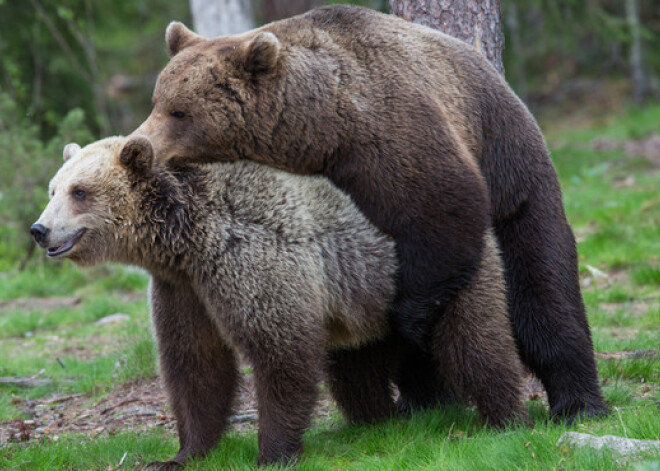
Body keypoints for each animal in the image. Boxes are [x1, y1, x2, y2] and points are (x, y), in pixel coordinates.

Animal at [31, 136, 524, 468]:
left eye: (80, 191)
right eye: (53, 188)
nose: (39, 230)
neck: (186, 236)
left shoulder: (251, 258)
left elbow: (279, 350)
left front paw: (272, 452)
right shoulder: (183, 289)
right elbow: (194, 362)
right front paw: (181, 453)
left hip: (436, 267)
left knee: (474, 339)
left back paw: (503, 417)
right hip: (361, 297)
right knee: (357, 364)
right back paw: (376, 418)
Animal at [131, 3, 604, 422]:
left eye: (179, 111)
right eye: (157, 100)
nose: (140, 145)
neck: (312, 132)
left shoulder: (387, 138)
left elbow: (445, 208)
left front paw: (410, 321)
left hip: (511, 167)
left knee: (541, 286)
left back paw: (578, 402)